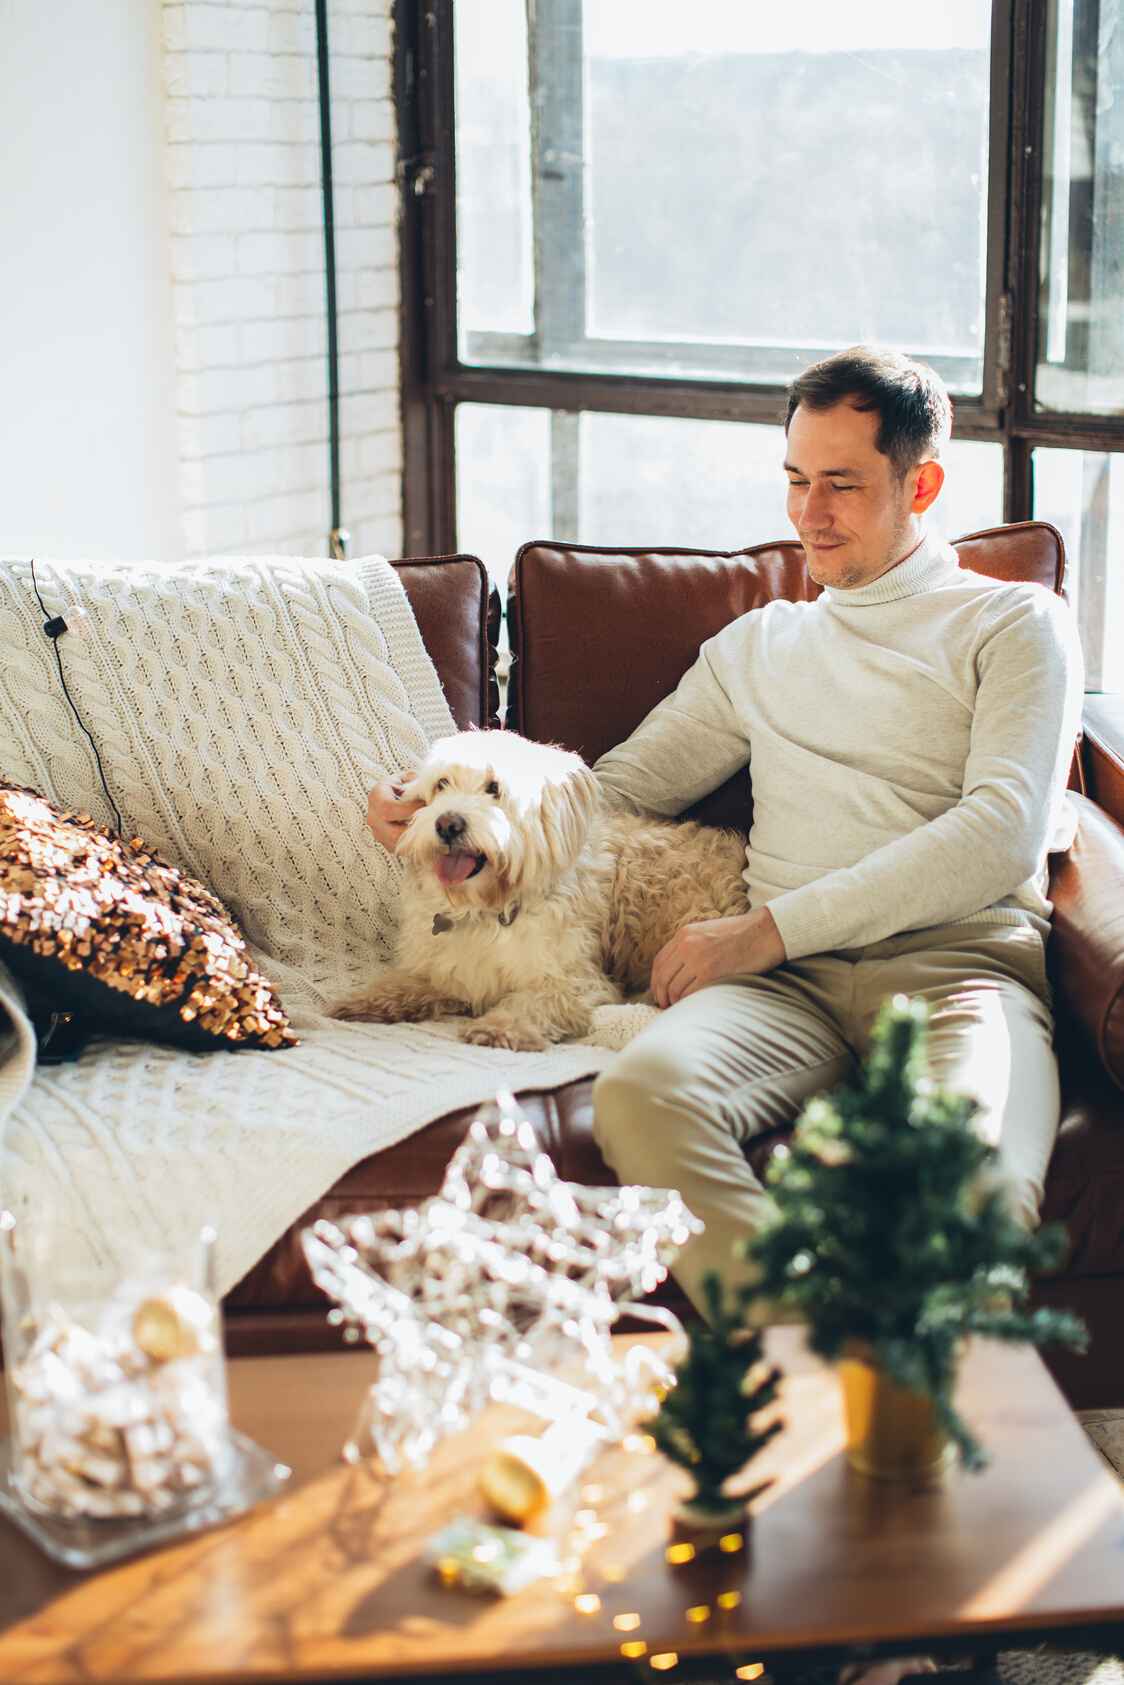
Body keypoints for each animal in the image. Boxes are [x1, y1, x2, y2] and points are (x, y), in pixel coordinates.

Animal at [338, 727, 751, 1044]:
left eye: (494, 788)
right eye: (441, 784)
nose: (447, 824)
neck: (488, 904)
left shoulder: (575, 983)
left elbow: (531, 1003)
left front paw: (497, 1028)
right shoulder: (447, 970)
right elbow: (406, 983)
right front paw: (363, 1001)